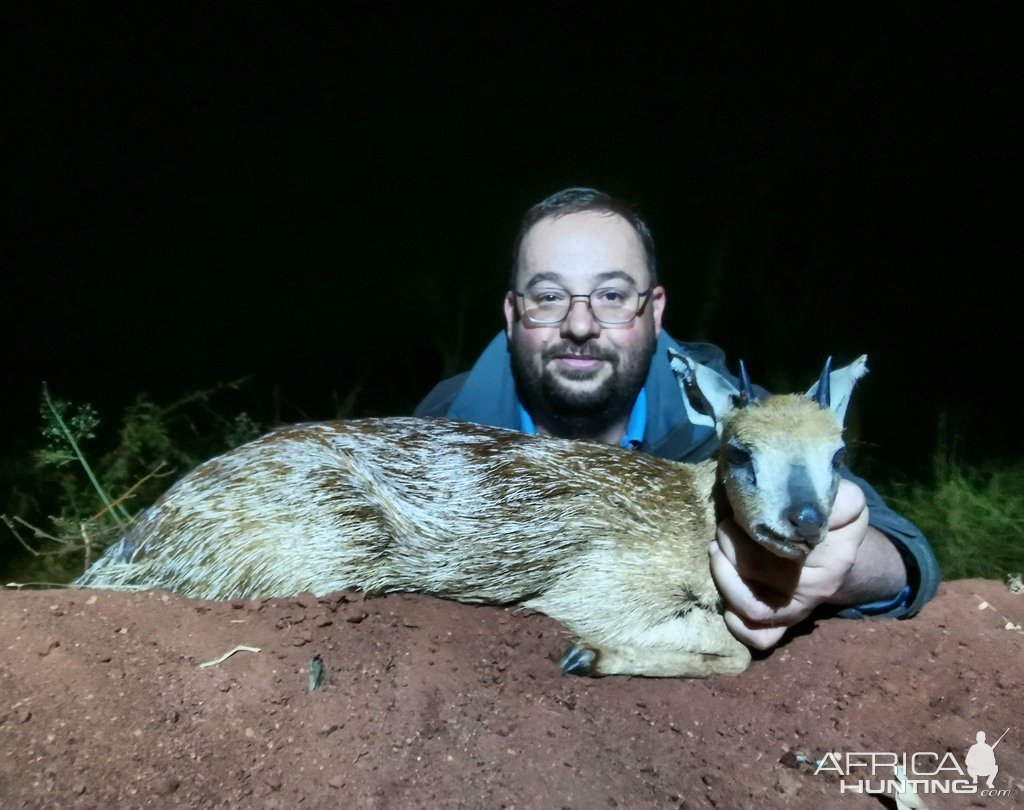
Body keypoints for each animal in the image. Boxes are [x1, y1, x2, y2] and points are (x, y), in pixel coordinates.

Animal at [75, 350, 868, 679]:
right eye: (740, 451)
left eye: (839, 454)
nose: (804, 519)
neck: (696, 525)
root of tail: (127, 546)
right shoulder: (596, 588)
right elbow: (735, 654)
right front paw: (589, 656)